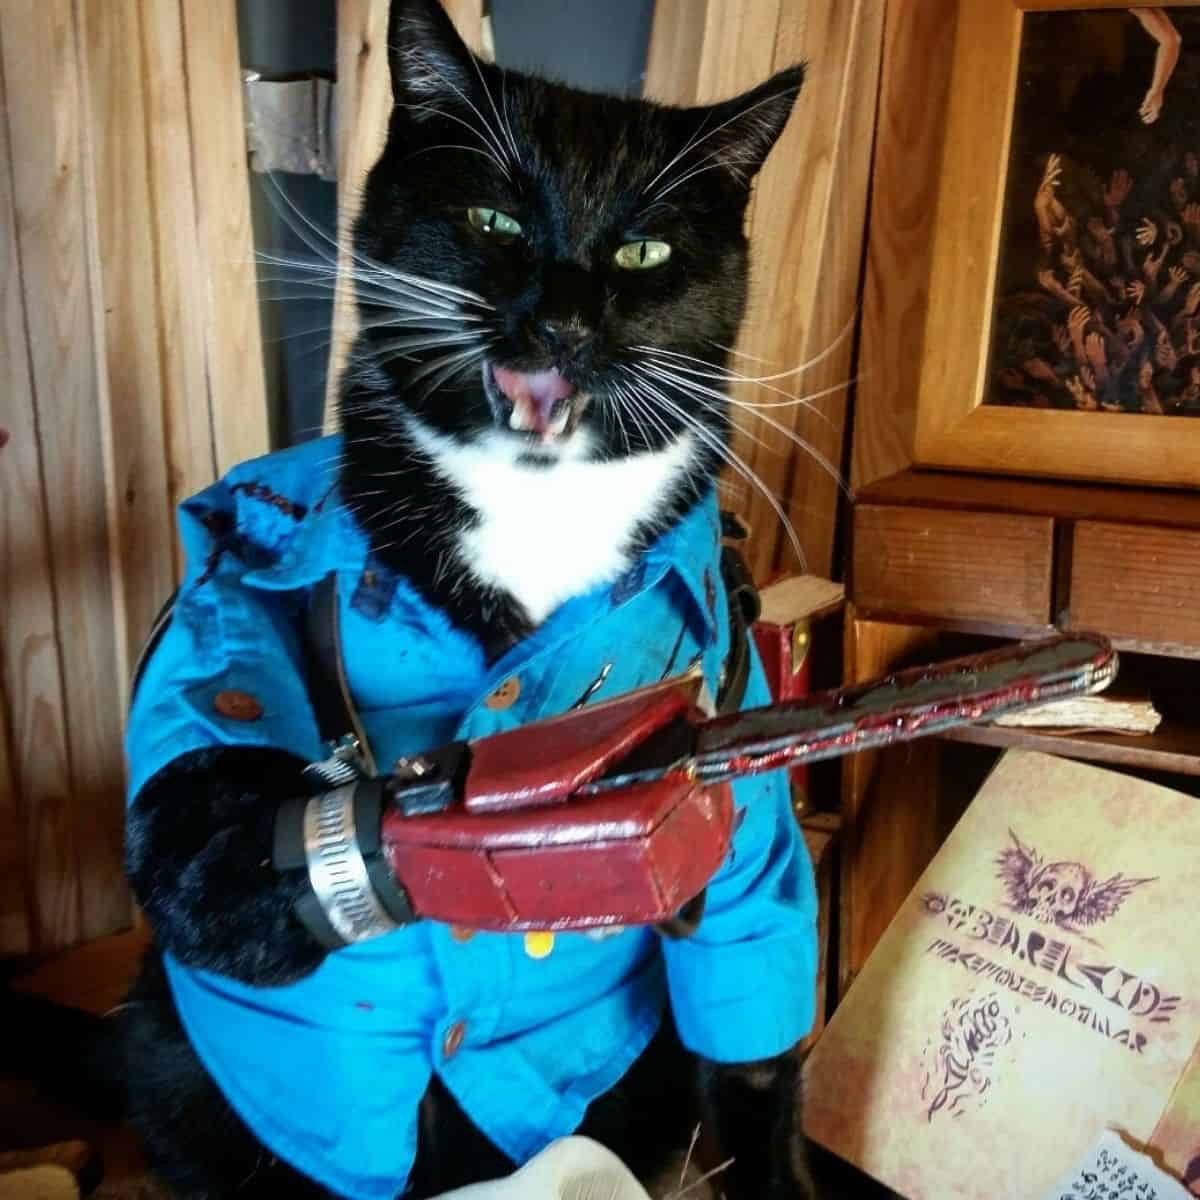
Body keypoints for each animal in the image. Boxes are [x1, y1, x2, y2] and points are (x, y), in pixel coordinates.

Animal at [119, 4, 816, 1195]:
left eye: (642, 252)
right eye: (495, 220)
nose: (564, 320)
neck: (537, 512)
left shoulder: (739, 758)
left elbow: (753, 992)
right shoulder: (237, 593)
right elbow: (197, 794)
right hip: (168, 1051)